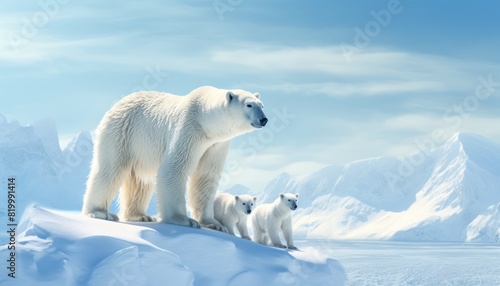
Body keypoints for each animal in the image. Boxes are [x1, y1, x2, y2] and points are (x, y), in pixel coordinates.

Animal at [82, 86, 268, 231]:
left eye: (262, 105)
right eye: (249, 105)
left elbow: (206, 176)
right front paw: (184, 220)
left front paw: (214, 223)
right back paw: (101, 212)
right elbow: (174, 168)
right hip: (123, 132)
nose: (264, 119)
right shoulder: (189, 129)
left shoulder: (216, 145)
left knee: (140, 181)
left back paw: (140, 216)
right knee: (110, 170)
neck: (205, 121)